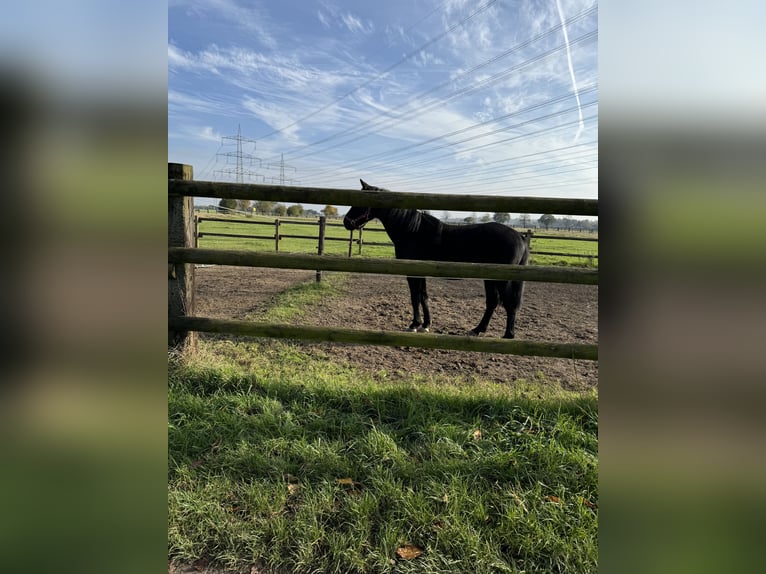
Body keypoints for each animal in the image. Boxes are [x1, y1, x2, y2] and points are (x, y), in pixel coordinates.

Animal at [344, 181, 532, 338]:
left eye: (360, 202)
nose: (346, 222)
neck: (412, 231)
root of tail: (520, 237)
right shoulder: (421, 272)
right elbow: (424, 297)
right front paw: (426, 325)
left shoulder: (413, 273)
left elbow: (415, 297)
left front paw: (414, 325)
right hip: (490, 278)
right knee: (493, 302)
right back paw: (477, 330)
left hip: (502, 279)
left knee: (509, 304)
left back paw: (508, 335)